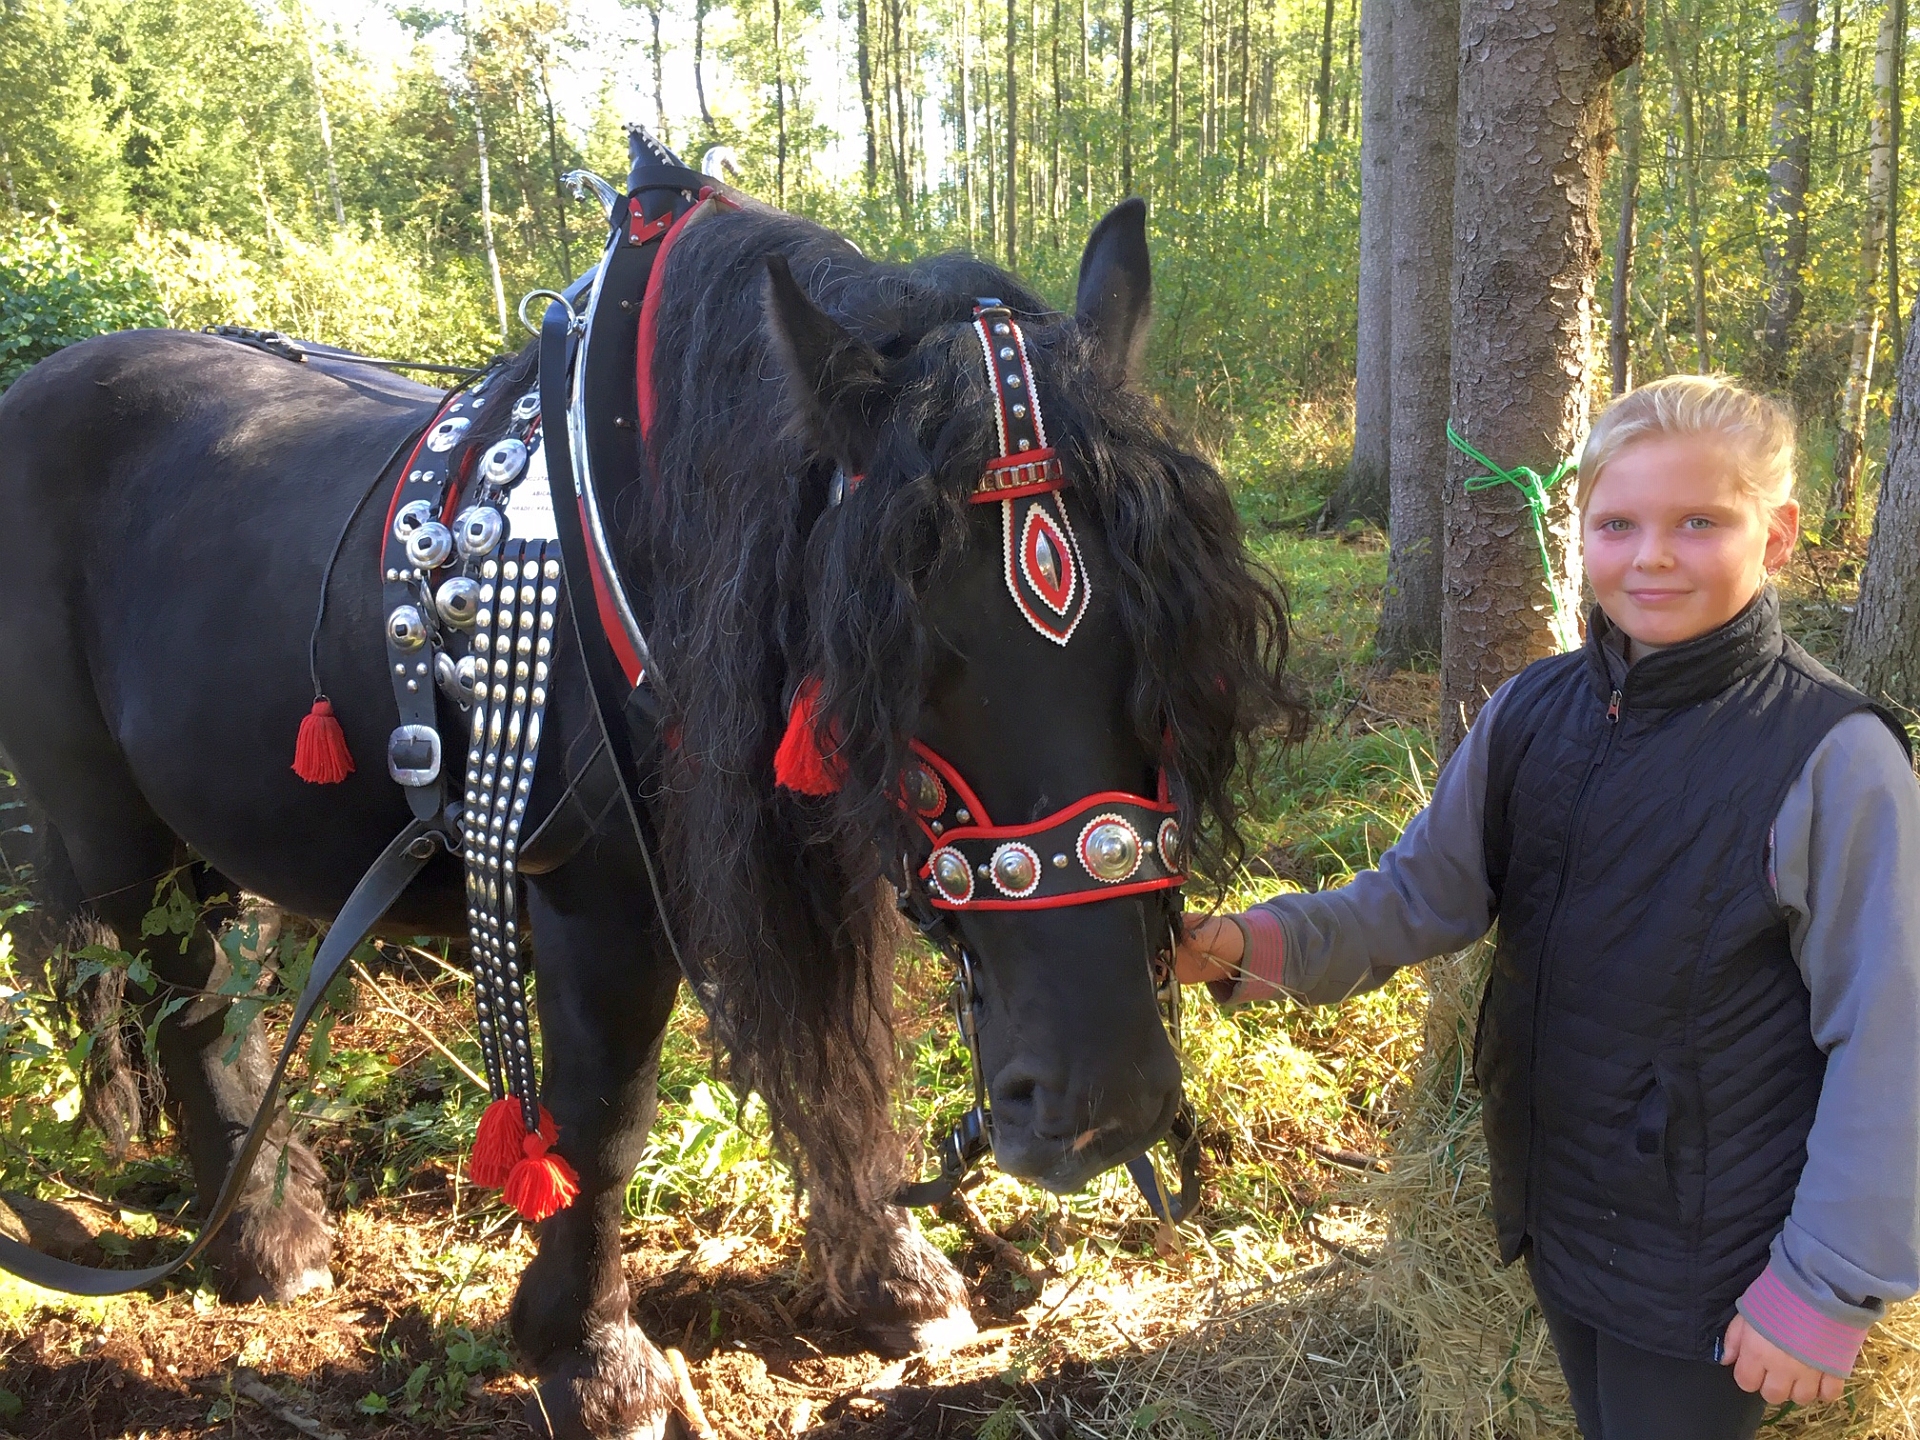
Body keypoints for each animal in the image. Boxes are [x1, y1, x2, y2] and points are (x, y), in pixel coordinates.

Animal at [0, 195, 1303, 1437]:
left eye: (1169, 653)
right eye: (908, 661)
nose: (1104, 1111)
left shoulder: (816, 873)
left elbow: (838, 1067)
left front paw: (893, 1279)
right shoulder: (601, 911)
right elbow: (601, 1127)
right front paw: (595, 1359)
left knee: (232, 993)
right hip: (116, 832)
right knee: (182, 1004)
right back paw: (264, 1241)